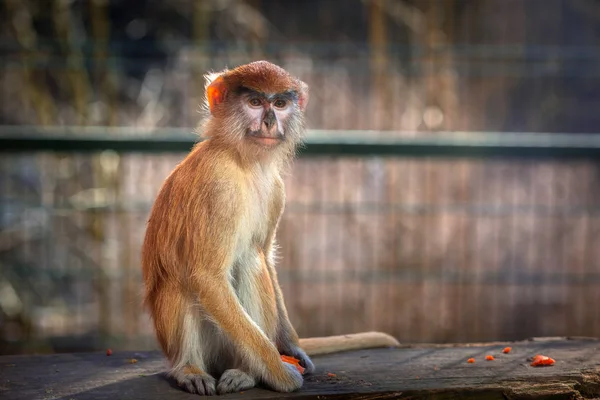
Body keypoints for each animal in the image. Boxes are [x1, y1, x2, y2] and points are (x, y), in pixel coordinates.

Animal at [141, 61, 398, 396]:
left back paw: (247, 372)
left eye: (279, 104)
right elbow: (206, 276)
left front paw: (291, 347)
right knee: (183, 280)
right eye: (254, 102)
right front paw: (281, 373)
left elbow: (263, 253)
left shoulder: (276, 188)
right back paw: (190, 369)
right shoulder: (217, 184)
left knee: (252, 260)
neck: (244, 161)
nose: (269, 122)